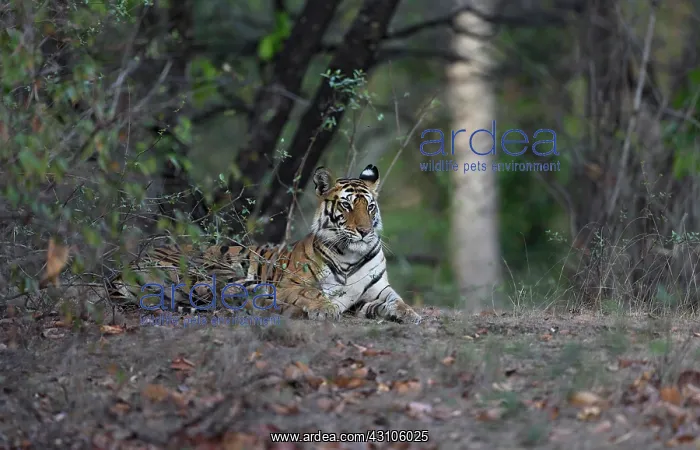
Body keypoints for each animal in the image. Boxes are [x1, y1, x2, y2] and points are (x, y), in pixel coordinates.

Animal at [107, 164, 422, 324]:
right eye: (346, 206)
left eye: (369, 207)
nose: (365, 231)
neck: (350, 256)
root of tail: (124, 268)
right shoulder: (292, 284)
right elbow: (309, 293)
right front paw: (325, 307)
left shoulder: (378, 290)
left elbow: (395, 301)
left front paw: (409, 313)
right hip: (214, 271)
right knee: (243, 297)